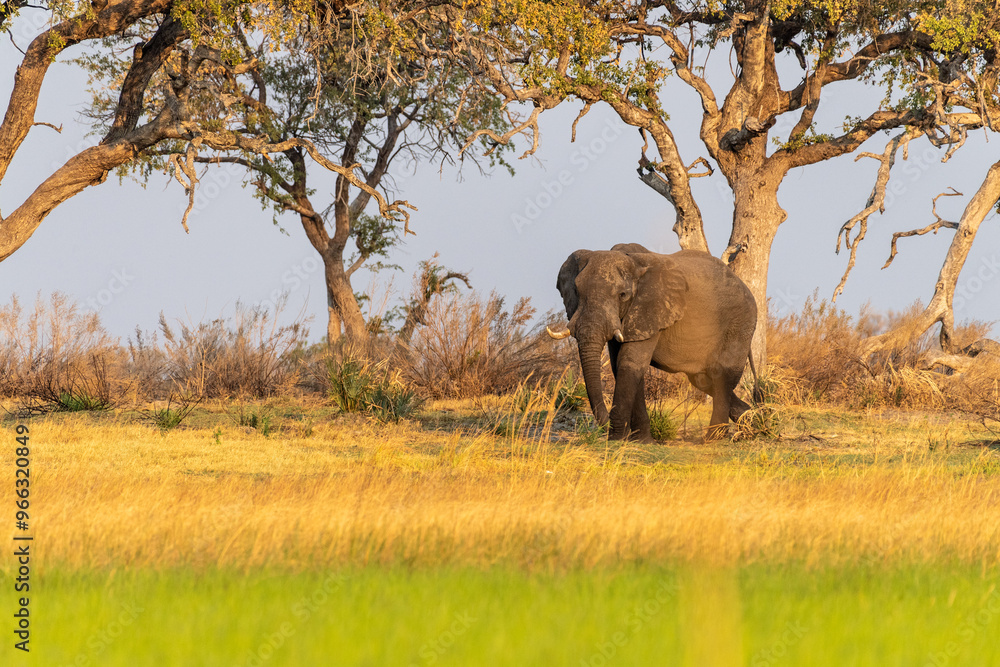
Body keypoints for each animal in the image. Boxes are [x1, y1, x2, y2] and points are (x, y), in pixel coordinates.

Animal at [547, 243, 758, 441]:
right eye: (577, 291)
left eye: (622, 295)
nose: (606, 425)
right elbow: (621, 366)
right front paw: (641, 440)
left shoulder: (651, 309)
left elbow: (629, 363)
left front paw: (618, 440)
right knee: (703, 380)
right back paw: (753, 421)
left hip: (740, 323)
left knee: (721, 375)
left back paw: (713, 439)